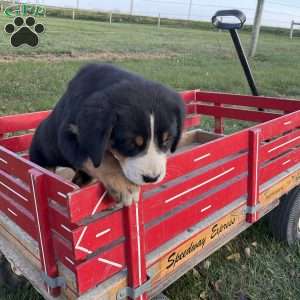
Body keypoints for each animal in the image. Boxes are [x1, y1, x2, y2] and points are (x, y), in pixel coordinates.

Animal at [29, 63, 185, 206]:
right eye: (130, 143)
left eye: (167, 140)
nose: (152, 178)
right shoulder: (69, 135)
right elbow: (102, 158)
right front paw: (125, 185)